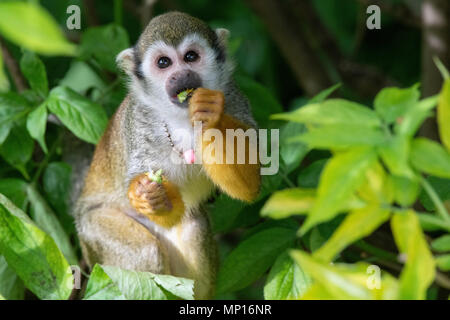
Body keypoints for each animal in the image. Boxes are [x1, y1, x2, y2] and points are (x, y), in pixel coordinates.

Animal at [74, 10, 260, 300]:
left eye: (191, 57)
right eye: (164, 62)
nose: (181, 74)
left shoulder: (234, 97)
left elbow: (249, 187)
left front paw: (210, 113)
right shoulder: (138, 122)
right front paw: (150, 197)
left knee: (194, 224)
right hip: (92, 231)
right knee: (146, 250)